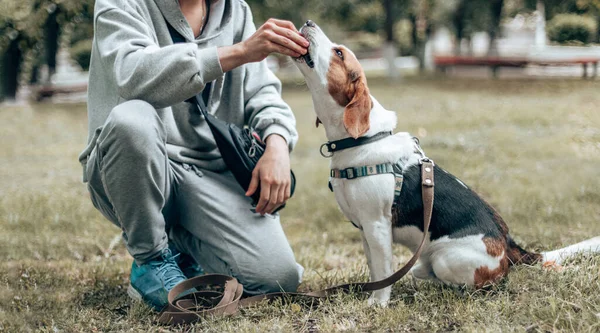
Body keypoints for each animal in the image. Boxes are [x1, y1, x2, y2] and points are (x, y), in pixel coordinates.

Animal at [294, 20, 600, 306]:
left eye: (339, 53)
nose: (308, 22)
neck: (362, 140)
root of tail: (509, 246)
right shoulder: (365, 231)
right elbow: (376, 270)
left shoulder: (377, 227)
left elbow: (383, 272)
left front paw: (377, 303)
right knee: (421, 271)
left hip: (446, 259)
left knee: (478, 283)